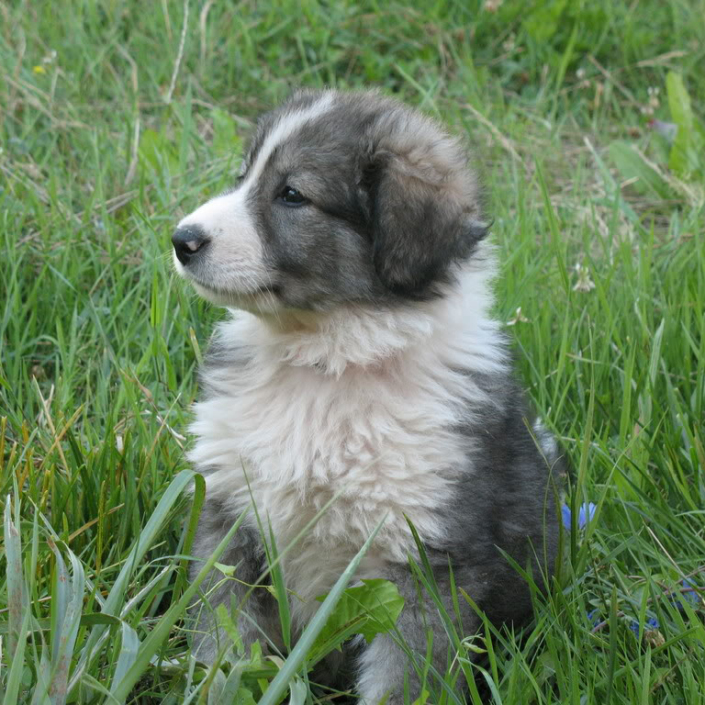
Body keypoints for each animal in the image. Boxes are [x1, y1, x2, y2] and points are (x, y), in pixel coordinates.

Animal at [175, 89, 560, 704]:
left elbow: (406, 681)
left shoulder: (423, 566)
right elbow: (226, 648)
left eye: (292, 194)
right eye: (244, 176)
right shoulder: (230, 526)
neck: (327, 362)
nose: (181, 240)